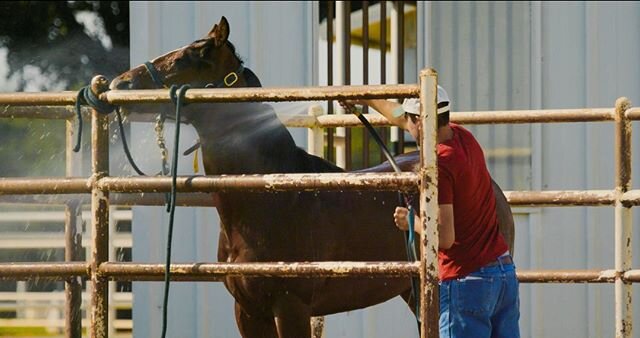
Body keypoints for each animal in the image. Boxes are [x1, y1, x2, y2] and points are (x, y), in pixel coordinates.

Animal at [109, 16, 516, 338]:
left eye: (188, 58)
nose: (119, 84)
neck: (271, 196)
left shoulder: (292, 308)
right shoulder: (249, 311)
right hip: (412, 290)